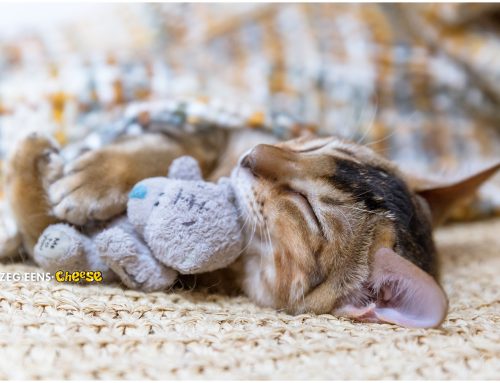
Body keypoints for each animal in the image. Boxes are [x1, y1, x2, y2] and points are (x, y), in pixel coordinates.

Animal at [4, 133, 500, 330]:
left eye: (308, 210)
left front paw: (26, 159)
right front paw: (96, 173)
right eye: (318, 145)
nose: (254, 152)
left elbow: (40, 226)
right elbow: (171, 144)